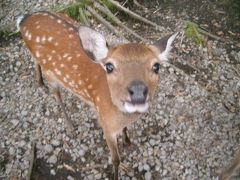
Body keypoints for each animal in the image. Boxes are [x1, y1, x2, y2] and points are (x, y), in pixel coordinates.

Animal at [16, 11, 177, 179]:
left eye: (156, 66)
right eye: (109, 66)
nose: (138, 91)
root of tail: (24, 19)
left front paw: (127, 141)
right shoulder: (105, 124)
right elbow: (116, 159)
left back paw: (39, 82)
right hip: (51, 74)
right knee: (57, 94)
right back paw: (70, 125)